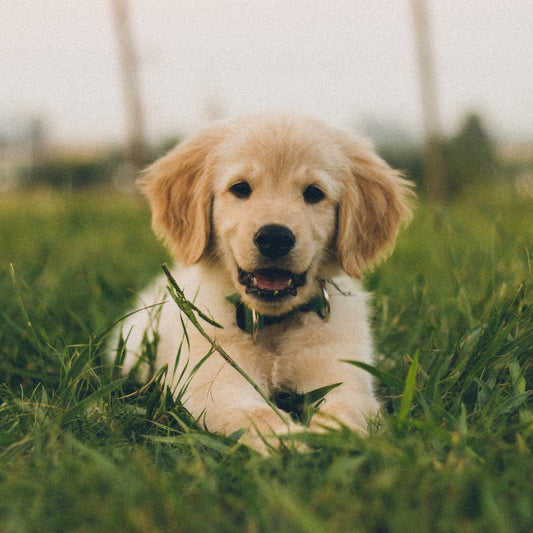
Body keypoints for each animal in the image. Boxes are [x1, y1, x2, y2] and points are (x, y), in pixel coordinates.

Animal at [111, 111, 412, 448]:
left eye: (313, 193)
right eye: (241, 188)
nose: (275, 237)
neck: (271, 324)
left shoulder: (342, 371)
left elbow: (346, 407)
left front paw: (334, 438)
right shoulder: (216, 379)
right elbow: (253, 414)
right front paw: (287, 442)